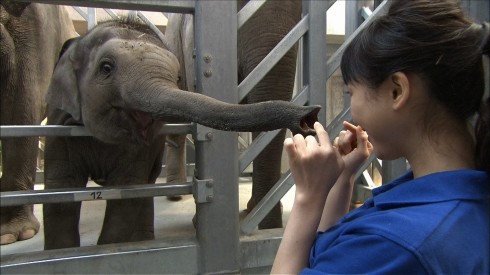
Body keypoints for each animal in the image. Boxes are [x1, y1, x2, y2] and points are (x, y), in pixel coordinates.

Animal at [41, 17, 318, 250]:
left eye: (176, 77)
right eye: (106, 68)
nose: (309, 116)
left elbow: (127, 192)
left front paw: (111, 247)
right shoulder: (59, 126)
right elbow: (61, 193)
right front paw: (67, 253)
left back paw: (144, 240)